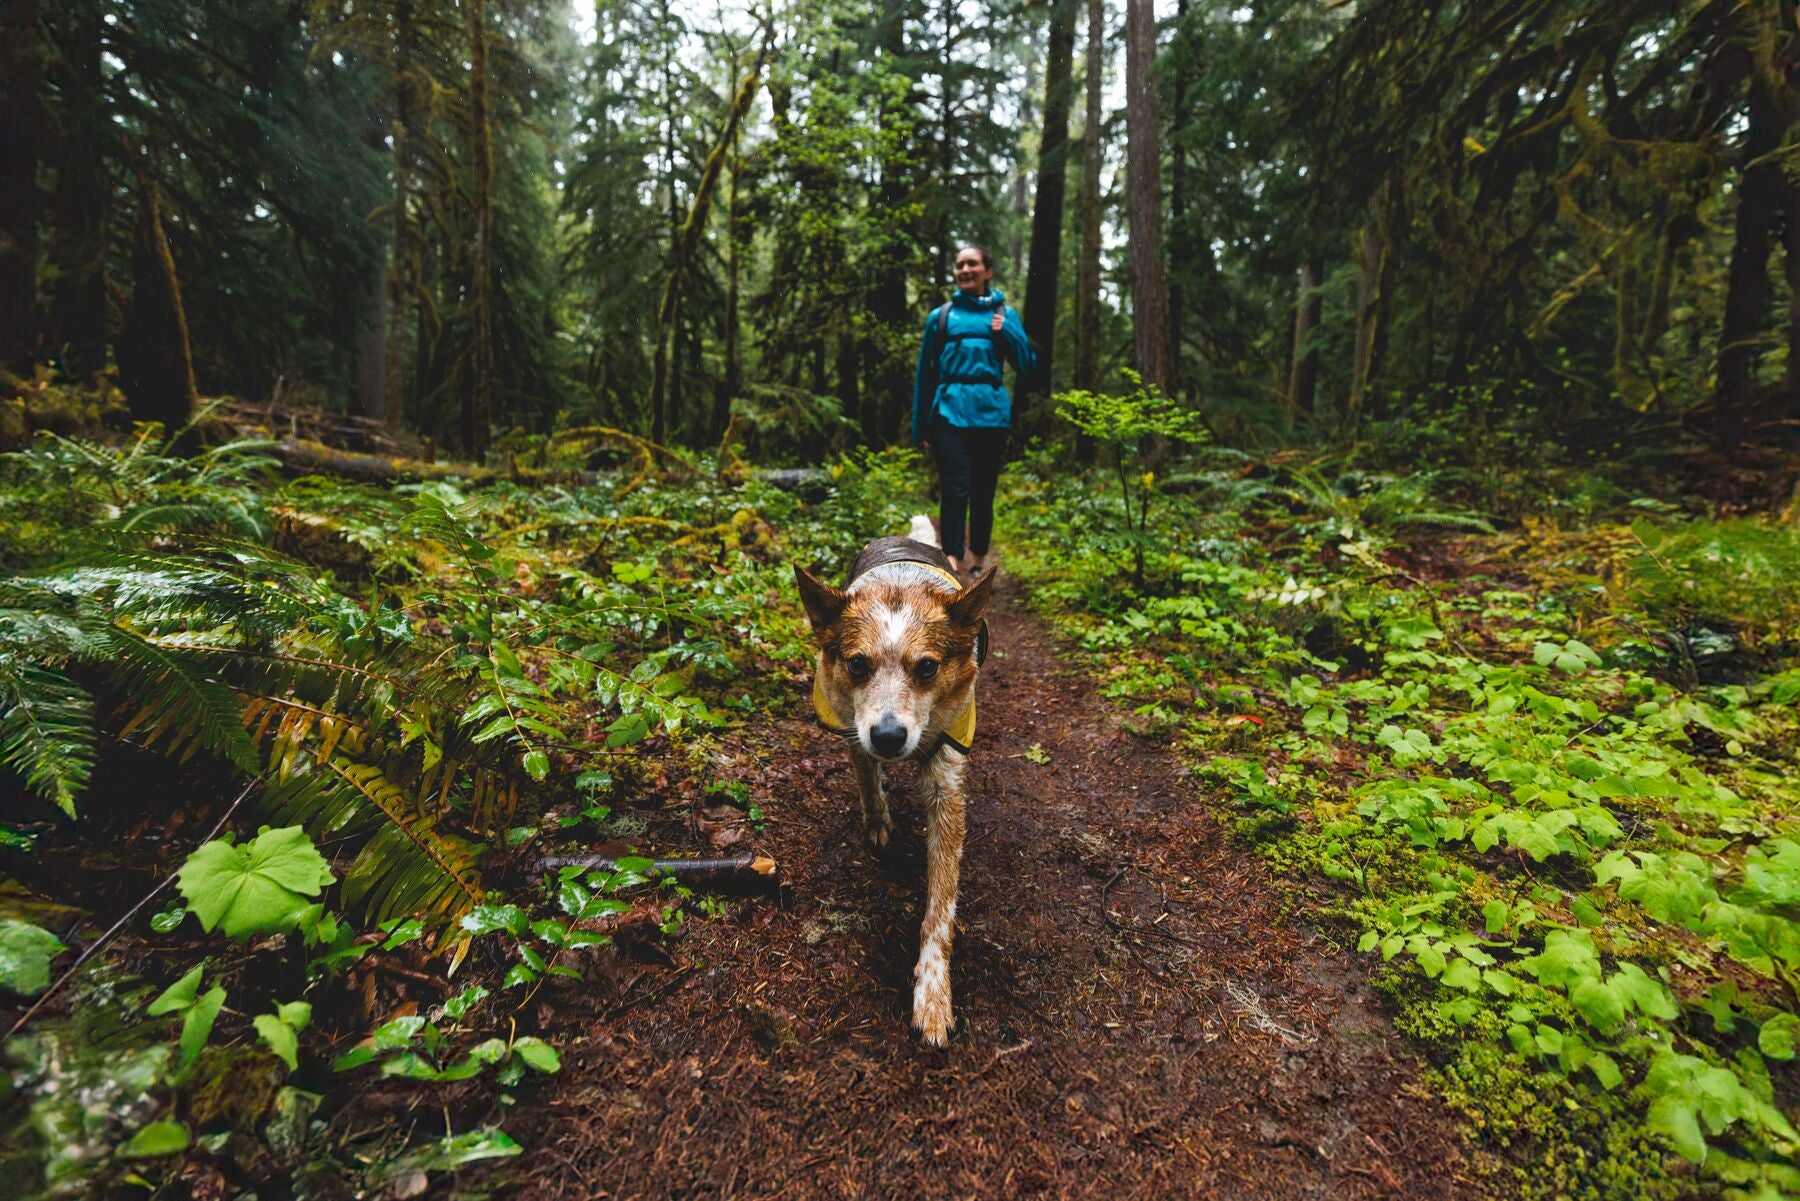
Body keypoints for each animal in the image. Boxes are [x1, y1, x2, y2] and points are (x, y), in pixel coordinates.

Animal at [799, 511, 1000, 1044]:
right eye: (857, 663)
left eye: (927, 666)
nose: (889, 736)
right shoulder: (852, 726)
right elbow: (867, 782)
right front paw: (878, 821)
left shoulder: (946, 781)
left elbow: (940, 907)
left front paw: (932, 992)